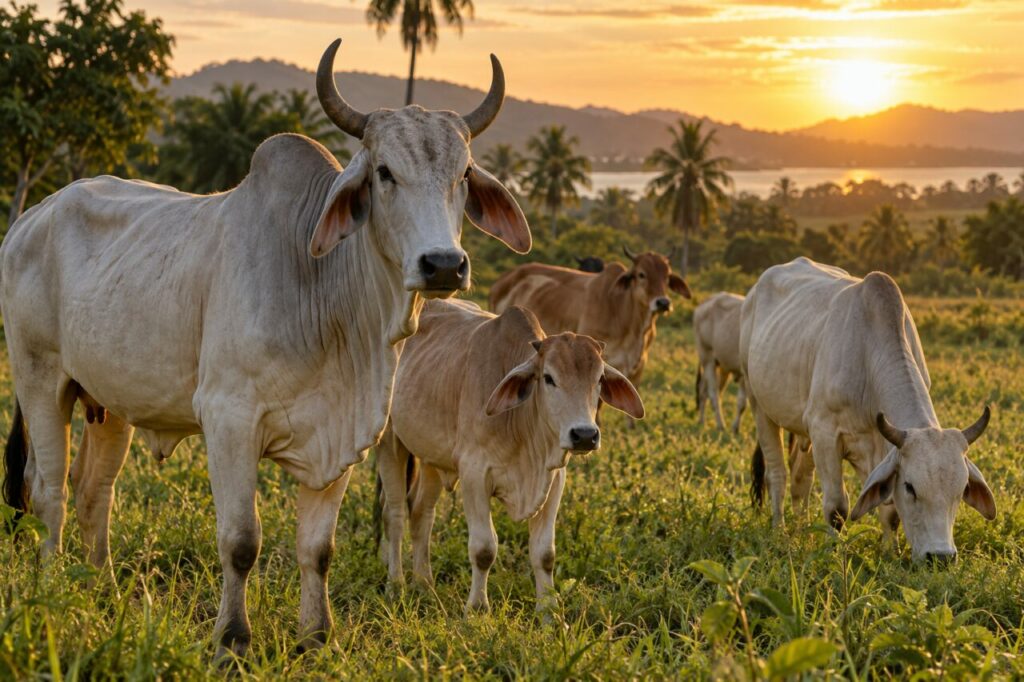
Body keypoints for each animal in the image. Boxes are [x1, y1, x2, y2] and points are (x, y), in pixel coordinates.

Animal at [0, 39, 531, 657]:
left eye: (463, 173)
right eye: (384, 173)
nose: (443, 264)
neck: (323, 294)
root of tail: (32, 216)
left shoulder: (342, 434)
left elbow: (317, 550)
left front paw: (317, 637)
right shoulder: (229, 420)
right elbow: (241, 541)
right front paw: (232, 639)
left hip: (109, 402)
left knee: (93, 493)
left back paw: (101, 589)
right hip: (40, 379)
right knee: (48, 490)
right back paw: (53, 590)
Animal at [376, 299, 643, 612]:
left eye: (599, 379)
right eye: (548, 378)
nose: (585, 435)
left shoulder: (554, 480)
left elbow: (545, 554)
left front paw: (550, 613)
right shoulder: (474, 474)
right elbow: (484, 550)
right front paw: (477, 610)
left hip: (430, 456)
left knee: (421, 513)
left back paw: (424, 585)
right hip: (389, 442)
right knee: (394, 515)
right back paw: (396, 586)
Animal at [694, 292, 747, 433]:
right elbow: (742, 403)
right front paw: (735, 428)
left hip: (722, 367)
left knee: (704, 390)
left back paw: (702, 420)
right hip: (708, 360)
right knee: (713, 394)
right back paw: (720, 424)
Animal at [741, 258, 995, 561]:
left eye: (961, 489)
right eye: (910, 487)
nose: (941, 556)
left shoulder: (880, 447)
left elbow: (890, 512)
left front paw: (891, 551)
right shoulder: (825, 433)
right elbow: (837, 507)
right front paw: (834, 552)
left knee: (800, 478)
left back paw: (802, 531)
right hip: (759, 405)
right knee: (777, 474)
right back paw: (779, 530)